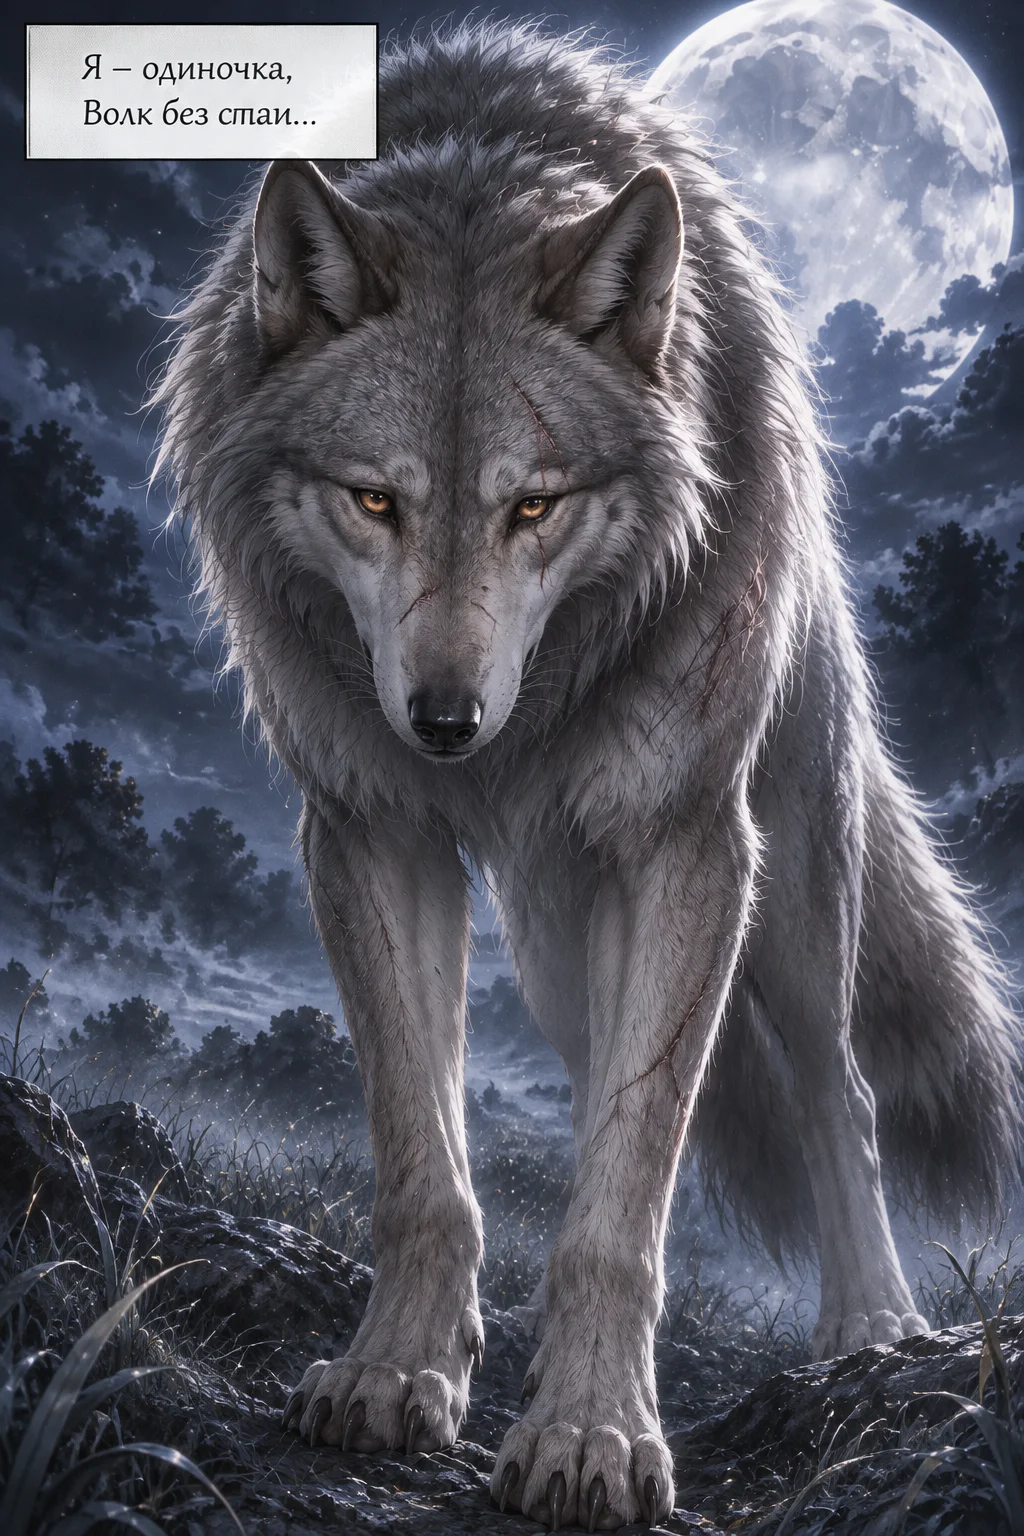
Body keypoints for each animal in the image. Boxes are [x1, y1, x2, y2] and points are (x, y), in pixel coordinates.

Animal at [153, 19, 1021, 1531]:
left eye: (534, 505)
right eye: (375, 501)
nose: (445, 721)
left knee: (836, 1094)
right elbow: (421, 1157)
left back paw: (871, 1327)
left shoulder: (689, 846)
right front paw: (400, 1374)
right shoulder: (370, 830)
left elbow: (627, 1198)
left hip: (791, 890)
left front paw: (591, 1436)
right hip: (560, 952)